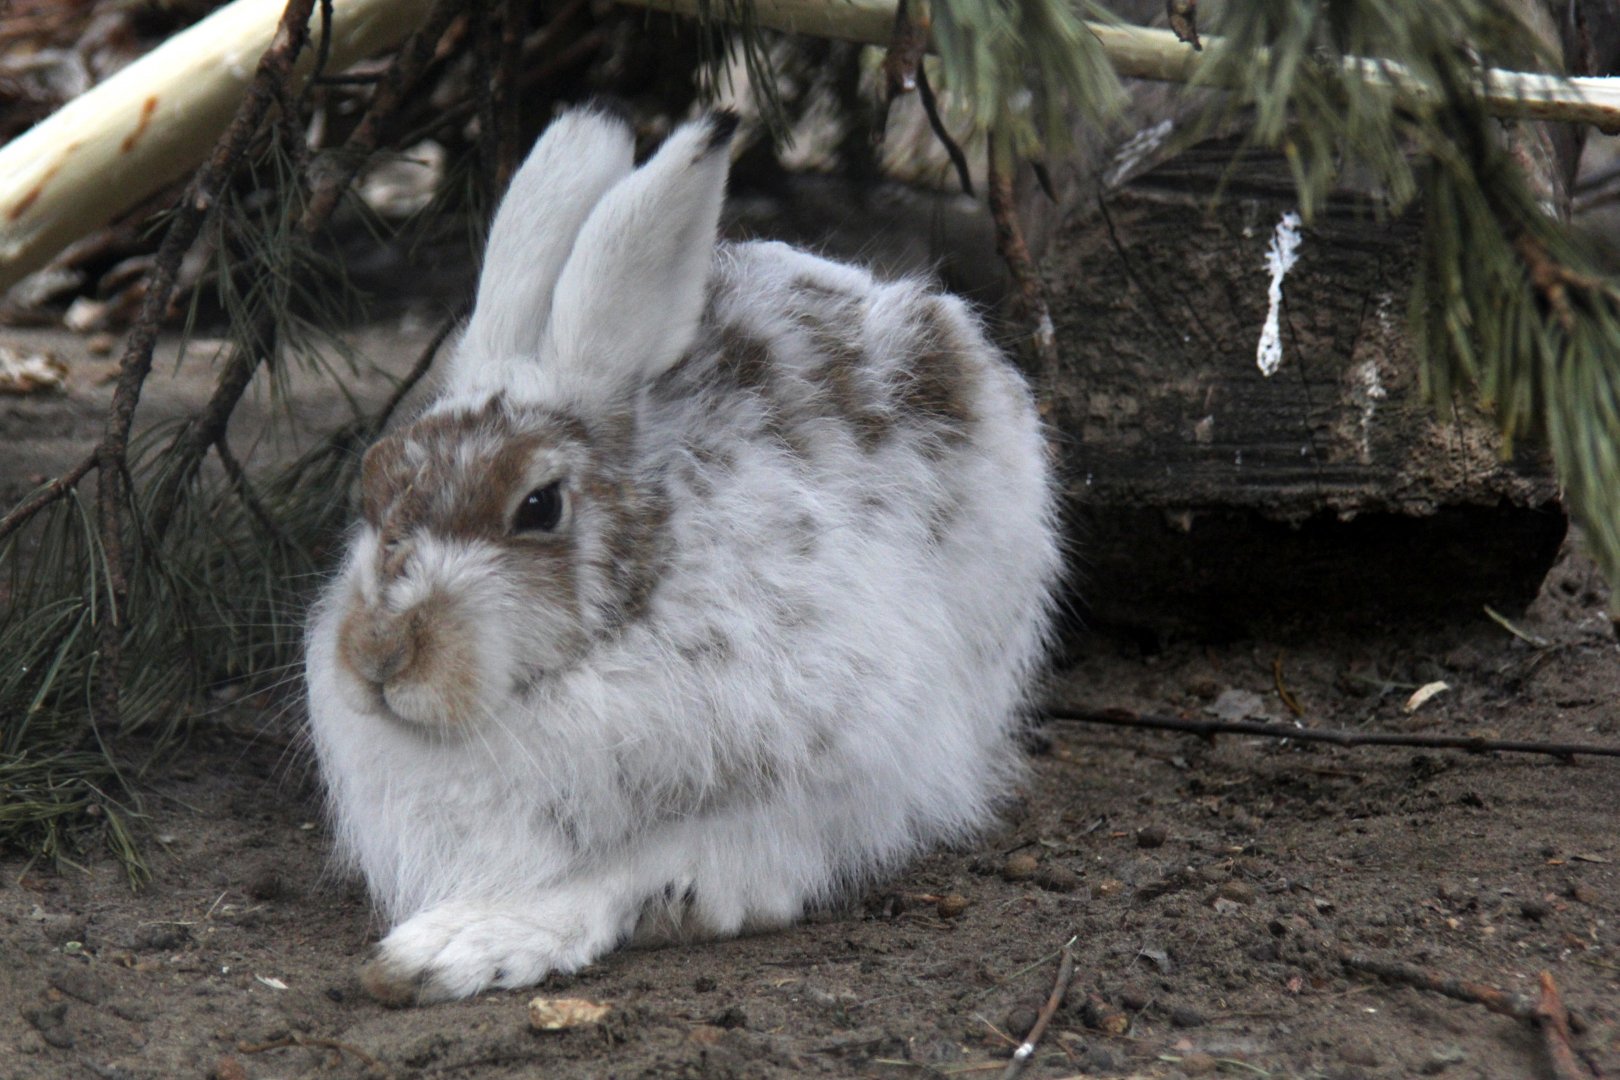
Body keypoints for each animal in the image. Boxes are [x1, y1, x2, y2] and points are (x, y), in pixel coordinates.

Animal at [304, 104, 1063, 1005]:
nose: (380, 656)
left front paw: (451, 947)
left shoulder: (806, 786)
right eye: (376, 479)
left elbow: (620, 873)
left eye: (538, 506)